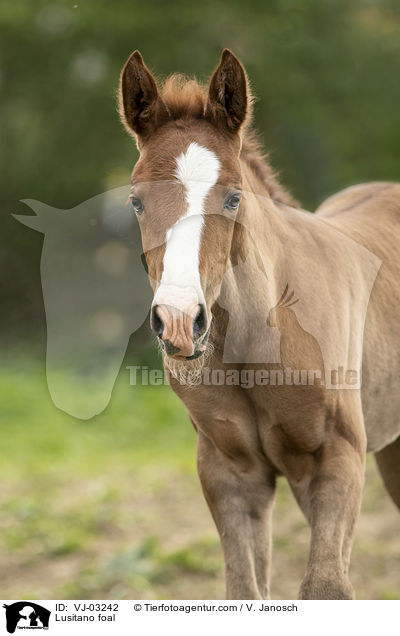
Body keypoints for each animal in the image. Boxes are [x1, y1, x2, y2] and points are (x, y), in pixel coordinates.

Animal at [119, 51, 400, 600]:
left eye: (232, 198)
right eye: (137, 201)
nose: (180, 322)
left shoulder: (336, 461)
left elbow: (325, 587)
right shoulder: (231, 473)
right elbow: (244, 590)